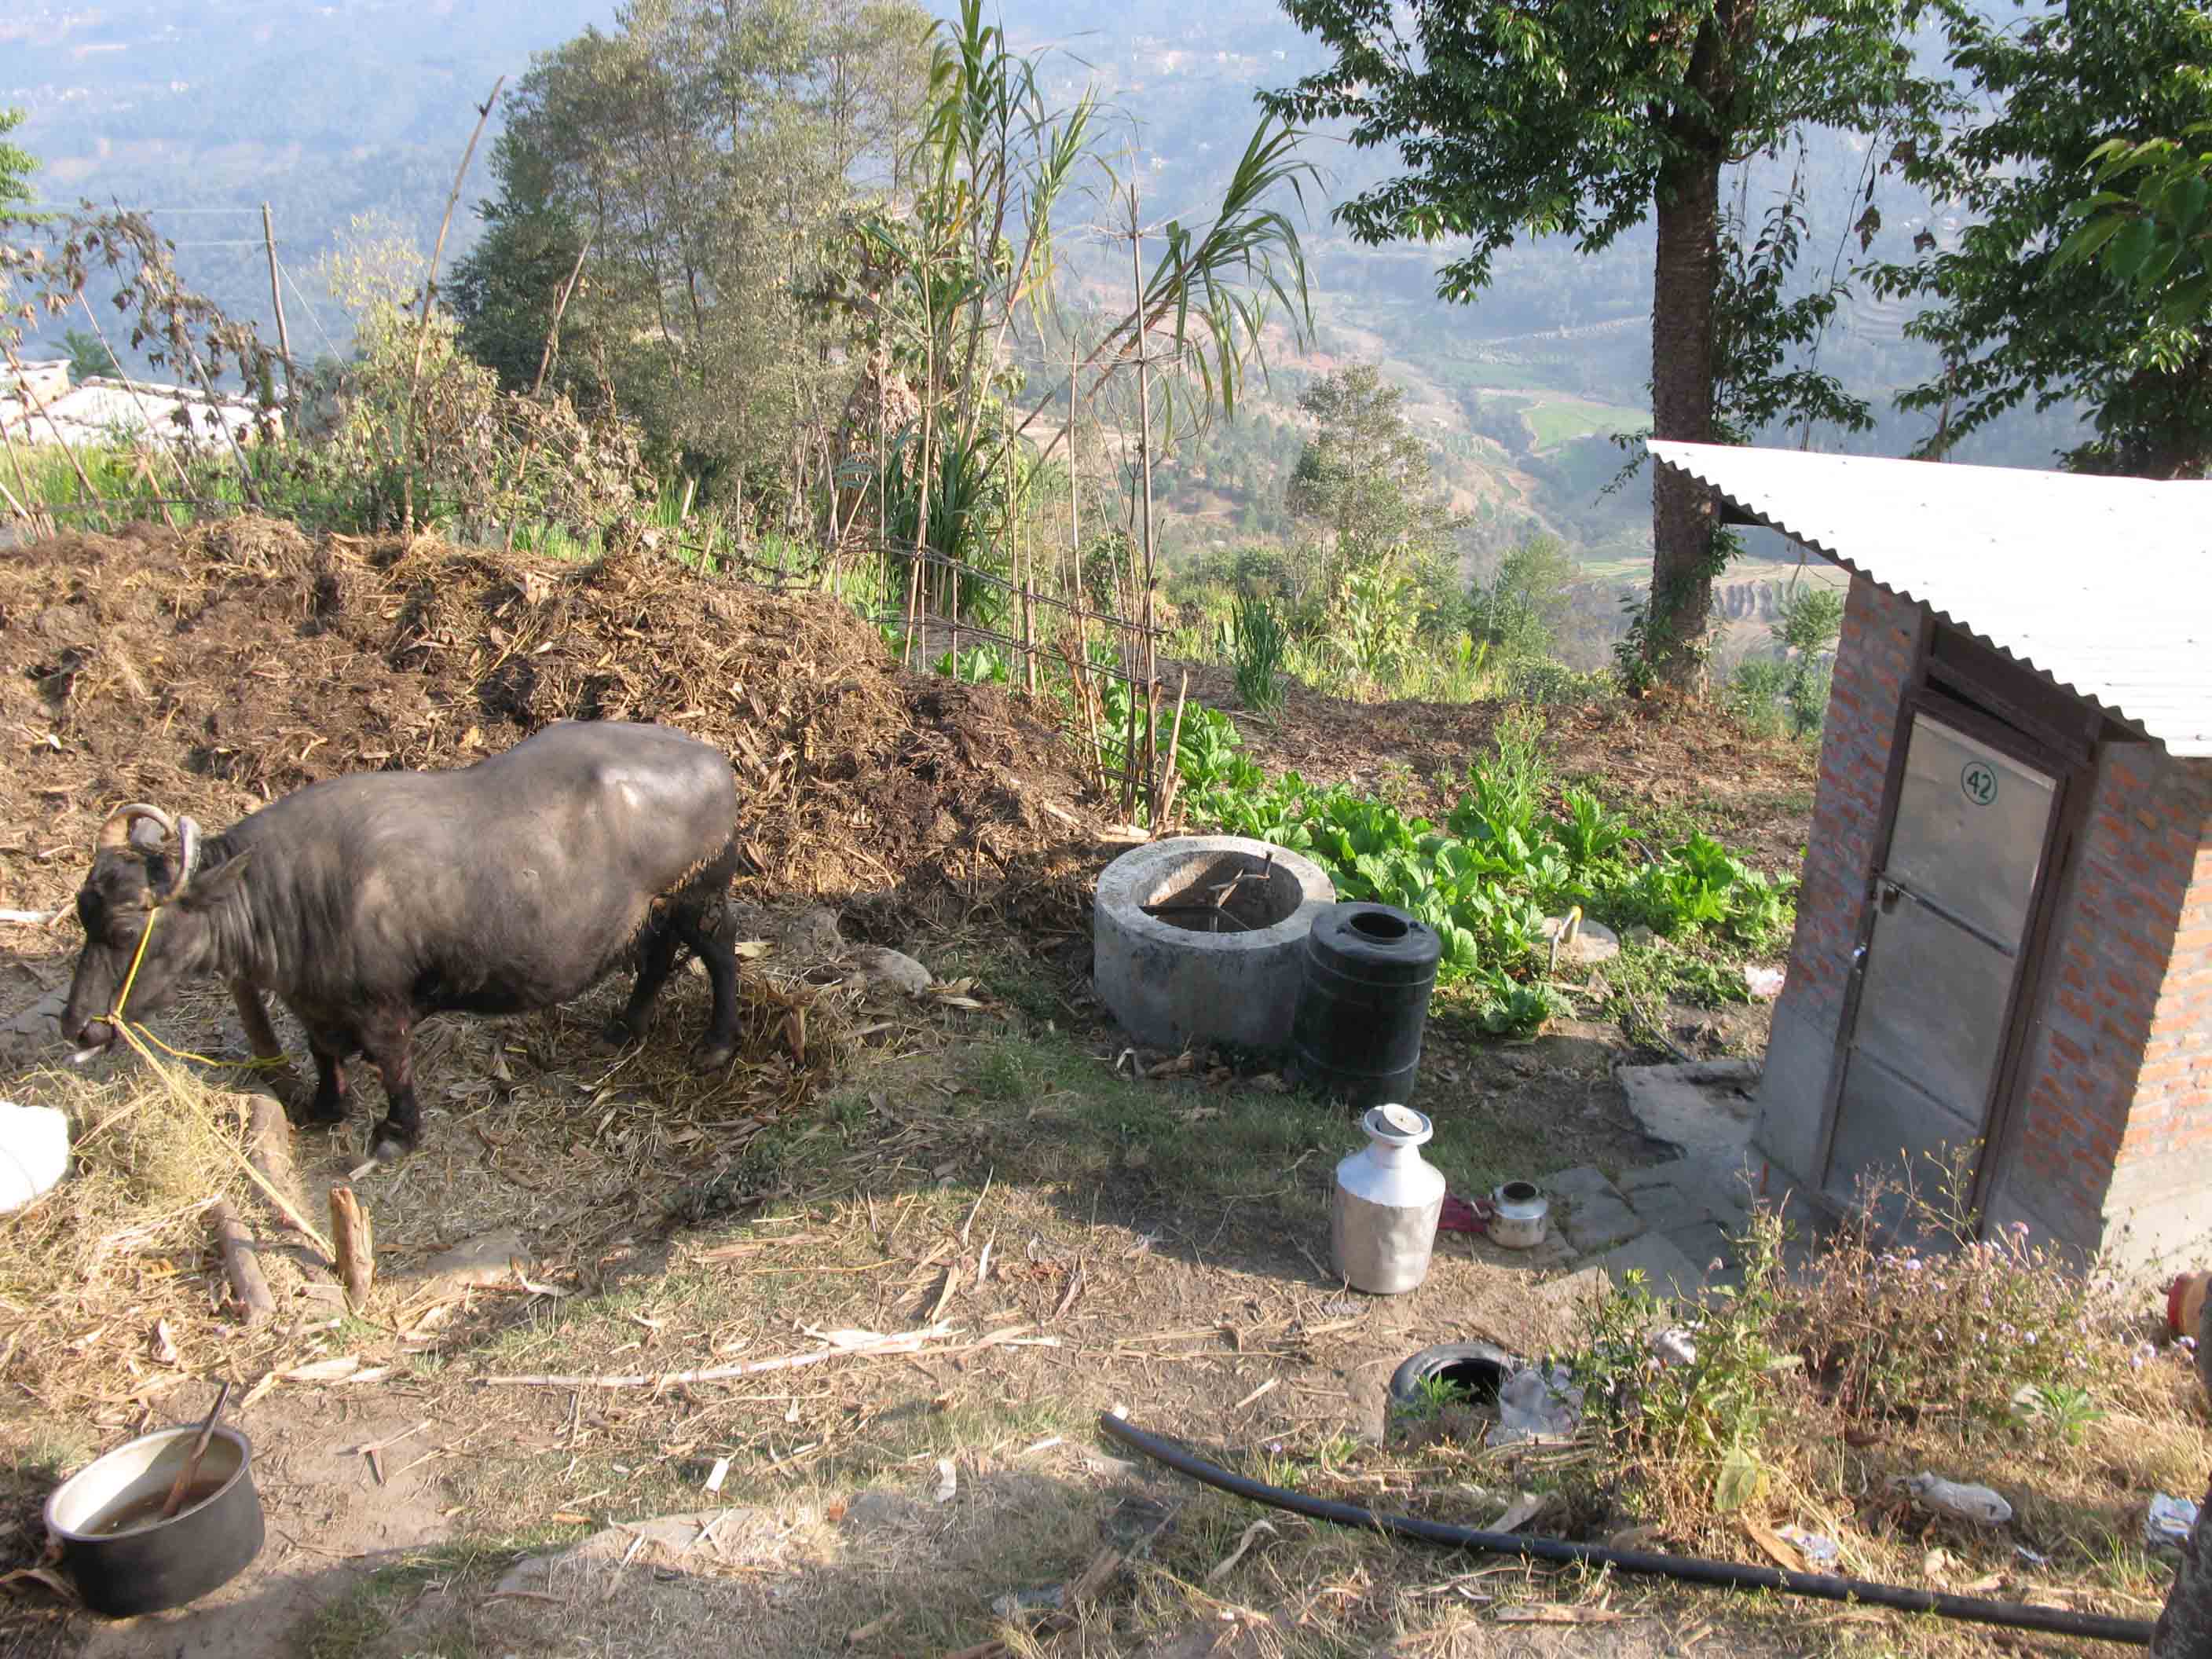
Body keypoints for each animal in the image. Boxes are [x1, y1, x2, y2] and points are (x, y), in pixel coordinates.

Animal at [60, 721, 747, 1159]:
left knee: (720, 953)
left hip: (700, 897)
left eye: (126, 929)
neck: (293, 893)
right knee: (656, 957)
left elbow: (394, 1065)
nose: (77, 1026)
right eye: (83, 914)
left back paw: (717, 1044)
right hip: (653, 911)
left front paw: (397, 1132)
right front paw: (326, 1107)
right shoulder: (315, 1003)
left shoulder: (381, 1005)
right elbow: (323, 1053)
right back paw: (627, 1025)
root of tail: (712, 759)